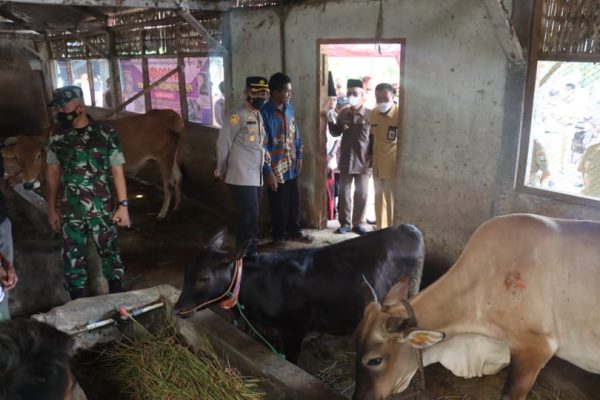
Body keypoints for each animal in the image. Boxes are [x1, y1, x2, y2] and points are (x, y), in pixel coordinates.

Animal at [1, 109, 185, 220]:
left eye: (38, 155)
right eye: (17, 157)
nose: (28, 184)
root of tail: (171, 114)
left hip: (164, 158)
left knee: (168, 184)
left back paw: (162, 213)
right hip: (172, 158)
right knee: (177, 177)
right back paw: (176, 206)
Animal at [174, 224, 425, 363]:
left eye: (203, 278)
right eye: (186, 272)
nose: (177, 308)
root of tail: (410, 228)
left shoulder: (293, 330)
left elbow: (291, 360)